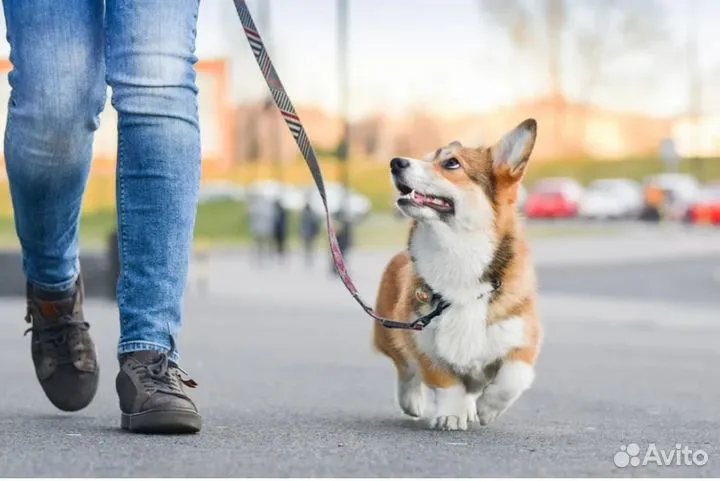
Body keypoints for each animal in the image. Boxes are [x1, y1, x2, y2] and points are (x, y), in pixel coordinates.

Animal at [374, 118, 544, 430]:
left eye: (451, 163)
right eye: (427, 158)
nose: (396, 162)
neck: (457, 254)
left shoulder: (523, 338)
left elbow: (513, 378)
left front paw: (488, 408)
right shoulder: (423, 342)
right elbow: (446, 383)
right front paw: (451, 415)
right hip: (387, 331)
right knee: (405, 368)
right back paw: (413, 401)